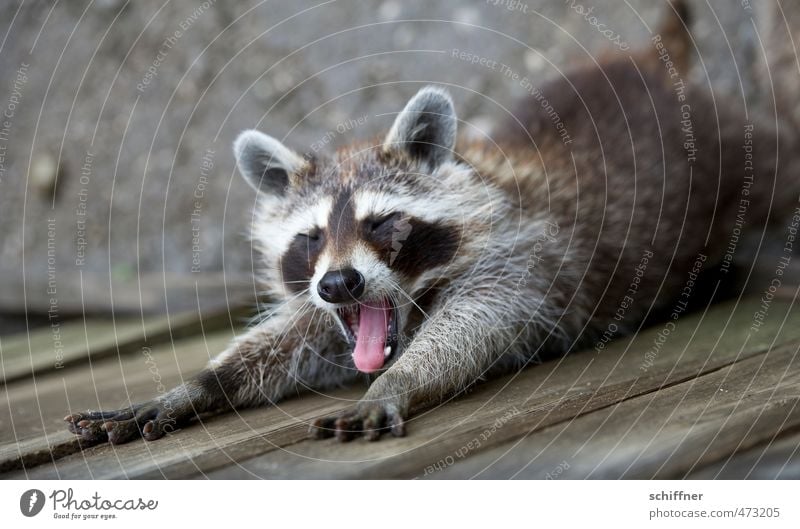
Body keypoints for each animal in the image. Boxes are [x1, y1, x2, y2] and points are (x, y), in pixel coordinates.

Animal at [65, 2, 796, 444]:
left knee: (777, 163)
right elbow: (289, 341)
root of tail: (646, 63)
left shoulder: (523, 261)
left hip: (733, 146)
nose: (340, 285)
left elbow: (473, 326)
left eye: (382, 223)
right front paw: (198, 384)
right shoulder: (324, 308)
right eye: (310, 238)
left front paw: (399, 380)